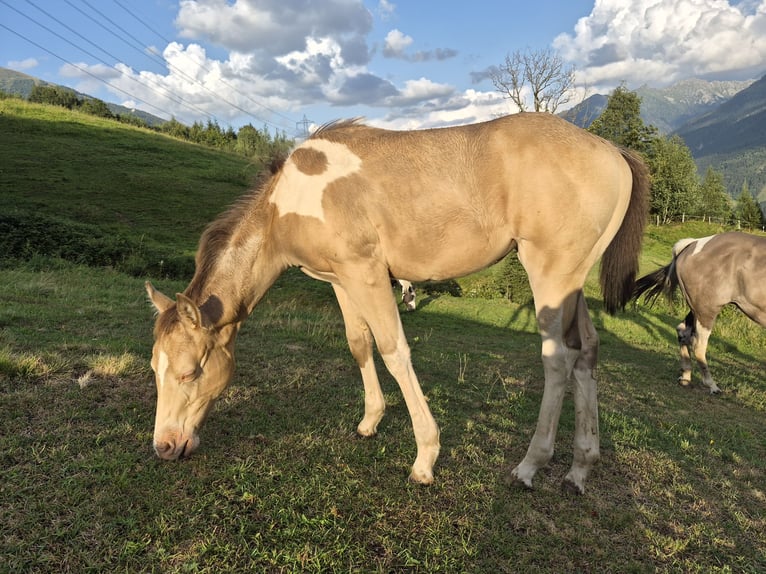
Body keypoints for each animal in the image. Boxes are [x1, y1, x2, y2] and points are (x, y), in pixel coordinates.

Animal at [146, 113, 649, 494]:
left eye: (190, 372)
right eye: (155, 369)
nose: (164, 446)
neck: (288, 202)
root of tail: (612, 150)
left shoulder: (366, 274)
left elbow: (394, 351)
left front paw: (425, 458)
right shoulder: (341, 281)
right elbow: (359, 344)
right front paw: (370, 421)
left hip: (549, 276)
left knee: (557, 360)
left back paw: (530, 466)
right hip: (573, 285)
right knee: (586, 352)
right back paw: (580, 468)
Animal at [633, 232, 766, 394]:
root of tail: (693, 243)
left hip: (696, 310)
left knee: (682, 332)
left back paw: (685, 376)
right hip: (706, 311)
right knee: (698, 345)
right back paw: (711, 385)